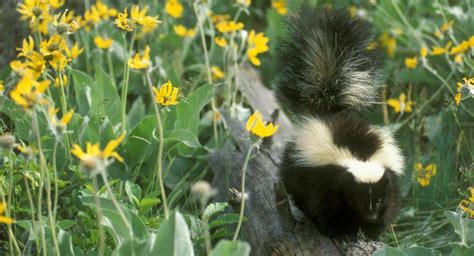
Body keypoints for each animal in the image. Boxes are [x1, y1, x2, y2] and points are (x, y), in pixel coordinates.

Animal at [276, 6, 406, 239]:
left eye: (378, 199)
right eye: (358, 199)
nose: (370, 215)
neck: (359, 159)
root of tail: (328, 112)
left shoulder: (388, 179)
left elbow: (390, 205)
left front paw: (372, 231)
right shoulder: (324, 180)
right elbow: (325, 207)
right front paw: (337, 232)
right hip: (295, 164)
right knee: (293, 185)